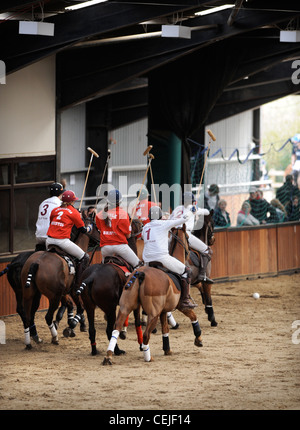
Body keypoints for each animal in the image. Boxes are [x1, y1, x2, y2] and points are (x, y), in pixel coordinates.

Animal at [20, 212, 99, 350]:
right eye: (97, 227)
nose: (101, 240)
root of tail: (36, 262)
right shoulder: (74, 290)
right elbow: (80, 308)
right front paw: (73, 325)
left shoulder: (64, 292)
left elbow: (71, 305)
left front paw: (75, 323)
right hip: (53, 297)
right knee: (47, 316)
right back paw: (54, 337)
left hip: (29, 294)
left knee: (27, 317)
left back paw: (30, 342)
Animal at [77, 218, 144, 356]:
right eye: (136, 223)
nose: (142, 224)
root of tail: (92, 276)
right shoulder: (136, 303)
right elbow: (137, 323)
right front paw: (141, 346)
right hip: (110, 307)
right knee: (109, 330)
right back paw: (117, 350)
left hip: (89, 306)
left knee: (92, 329)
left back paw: (94, 350)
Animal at [103, 225, 204, 366]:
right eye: (188, 237)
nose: (190, 253)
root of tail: (140, 275)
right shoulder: (180, 306)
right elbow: (193, 317)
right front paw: (198, 339)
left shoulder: (164, 311)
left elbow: (165, 330)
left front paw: (167, 349)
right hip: (153, 314)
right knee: (146, 334)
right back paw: (148, 357)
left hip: (125, 307)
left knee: (116, 328)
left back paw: (109, 356)